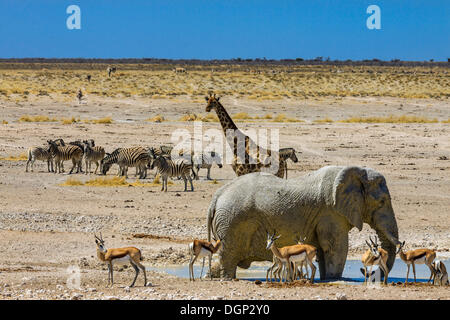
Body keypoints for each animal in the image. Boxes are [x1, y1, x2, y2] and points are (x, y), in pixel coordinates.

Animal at [207, 166, 400, 278]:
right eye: (382, 202)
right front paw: (335, 278)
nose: (368, 273)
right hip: (231, 223)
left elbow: (324, 249)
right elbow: (335, 247)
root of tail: (216, 197)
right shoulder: (331, 212)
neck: (357, 172)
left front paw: (326, 279)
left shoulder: (326, 216)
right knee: (228, 257)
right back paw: (228, 278)